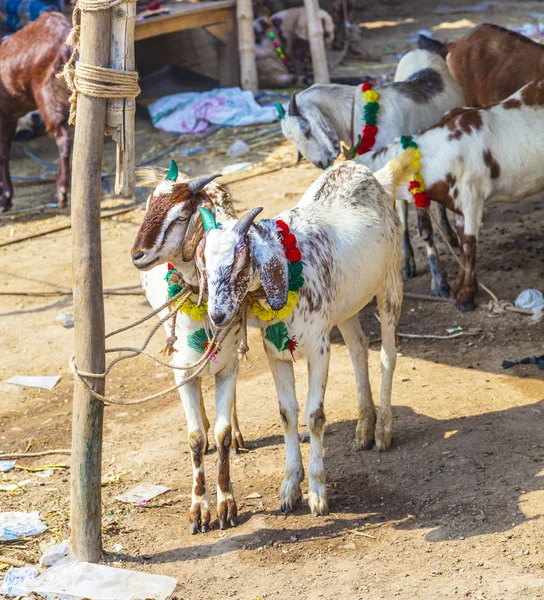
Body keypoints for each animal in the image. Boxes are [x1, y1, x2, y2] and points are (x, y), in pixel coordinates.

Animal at [0, 9, 72, 213]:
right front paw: (7, 198)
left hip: (46, 92)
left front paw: (4, 199)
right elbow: (4, 152)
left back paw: (62, 191)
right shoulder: (10, 115)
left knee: (63, 138)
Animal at [131, 164, 245, 536]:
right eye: (148, 206)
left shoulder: (227, 366)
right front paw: (198, 510)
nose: (137, 254)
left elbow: (223, 434)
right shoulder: (182, 372)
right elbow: (194, 438)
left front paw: (226, 506)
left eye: (181, 216)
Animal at [193, 151, 414, 516]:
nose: (218, 314)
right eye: (204, 268)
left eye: (241, 262)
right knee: (358, 347)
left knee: (388, 353)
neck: (289, 264)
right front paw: (289, 487)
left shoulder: (319, 348)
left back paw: (383, 429)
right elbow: (287, 414)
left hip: (391, 281)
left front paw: (318, 491)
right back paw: (364, 427)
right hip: (345, 305)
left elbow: (314, 416)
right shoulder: (275, 352)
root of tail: (376, 177)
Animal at [280, 49, 464, 298]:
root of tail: (420, 50)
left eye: (307, 130)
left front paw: (439, 282)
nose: (321, 162)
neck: (359, 113)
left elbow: (424, 228)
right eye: (292, 141)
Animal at [354, 79, 544, 312]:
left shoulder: (473, 197)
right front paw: (458, 287)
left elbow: (469, 245)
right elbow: (462, 243)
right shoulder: (458, 204)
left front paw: (466, 297)